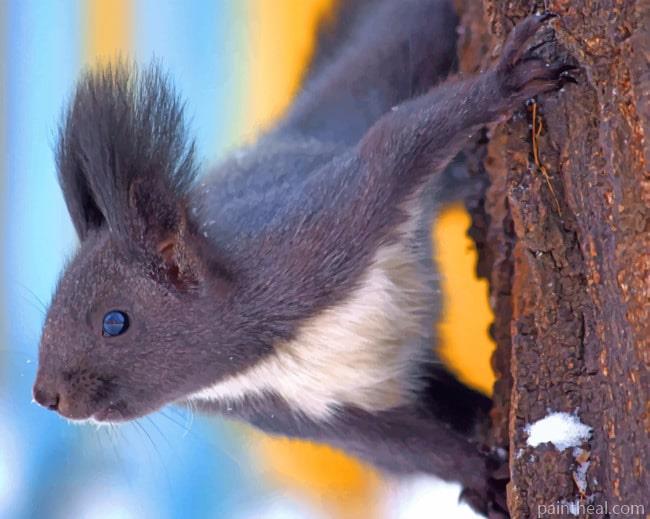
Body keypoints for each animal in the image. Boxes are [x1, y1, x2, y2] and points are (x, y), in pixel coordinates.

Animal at [32, 1, 574, 515]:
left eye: (115, 322)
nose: (46, 396)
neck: (261, 354)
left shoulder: (320, 231)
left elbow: (398, 141)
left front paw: (505, 81)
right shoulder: (296, 413)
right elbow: (402, 448)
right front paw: (480, 476)